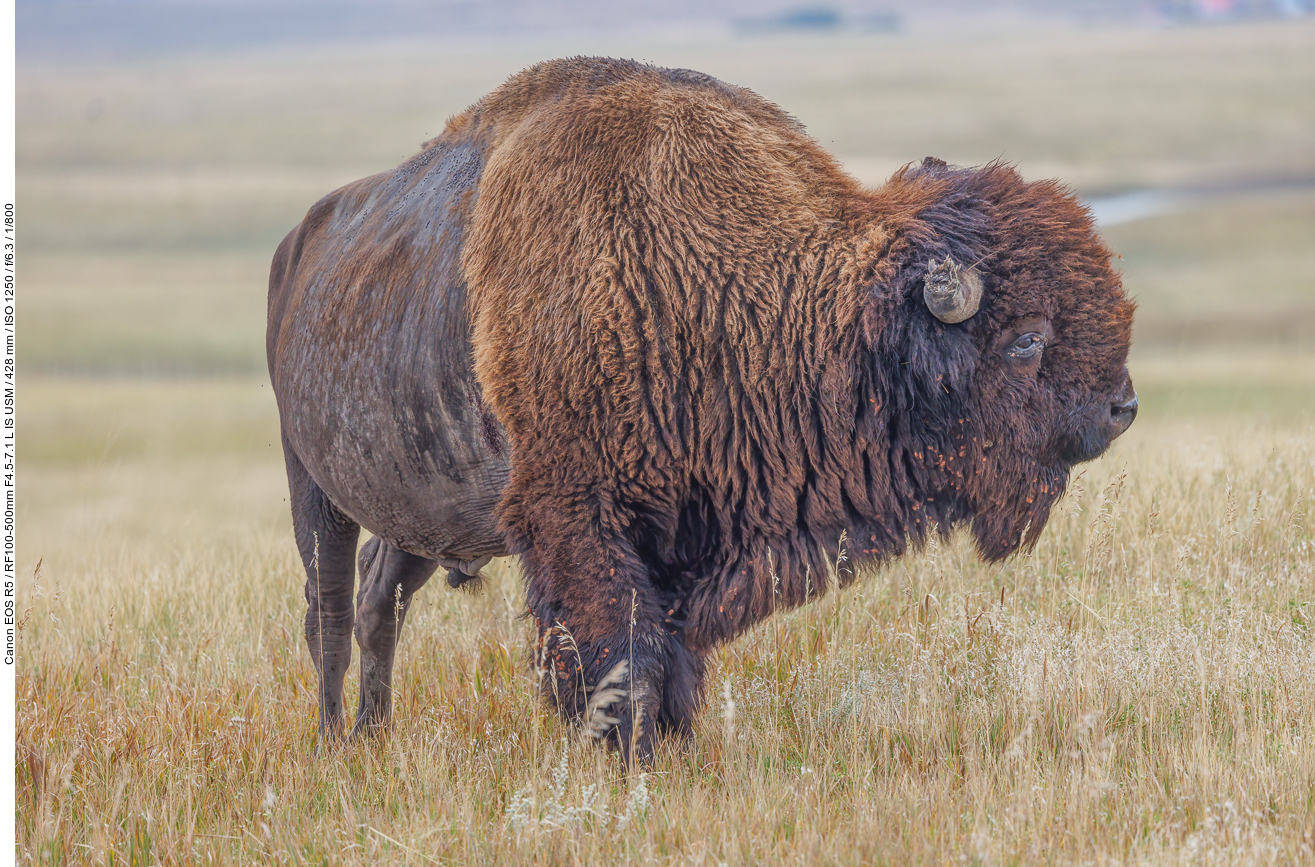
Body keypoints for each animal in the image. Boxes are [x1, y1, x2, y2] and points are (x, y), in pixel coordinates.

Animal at [264, 55, 1130, 768]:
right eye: (1026, 338)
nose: (1119, 407)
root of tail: (297, 241)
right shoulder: (577, 520)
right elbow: (620, 647)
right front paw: (630, 753)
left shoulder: (688, 532)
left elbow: (670, 648)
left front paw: (671, 742)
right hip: (312, 484)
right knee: (328, 609)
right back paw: (333, 742)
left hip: (420, 508)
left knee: (380, 597)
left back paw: (374, 736)